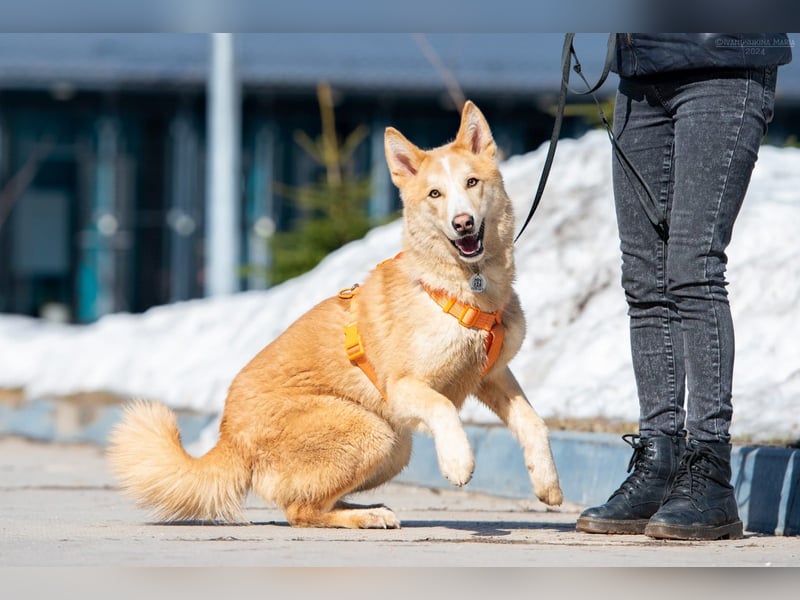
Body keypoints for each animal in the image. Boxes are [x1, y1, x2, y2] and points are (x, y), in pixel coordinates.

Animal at [108, 101, 564, 528]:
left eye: (472, 182)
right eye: (434, 194)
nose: (463, 223)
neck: (458, 288)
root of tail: (228, 439)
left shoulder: (492, 375)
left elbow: (533, 422)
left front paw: (548, 483)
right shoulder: (404, 386)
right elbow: (444, 409)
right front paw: (458, 461)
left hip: (392, 444)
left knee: (309, 500)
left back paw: (365, 508)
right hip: (374, 430)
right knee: (300, 510)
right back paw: (365, 517)